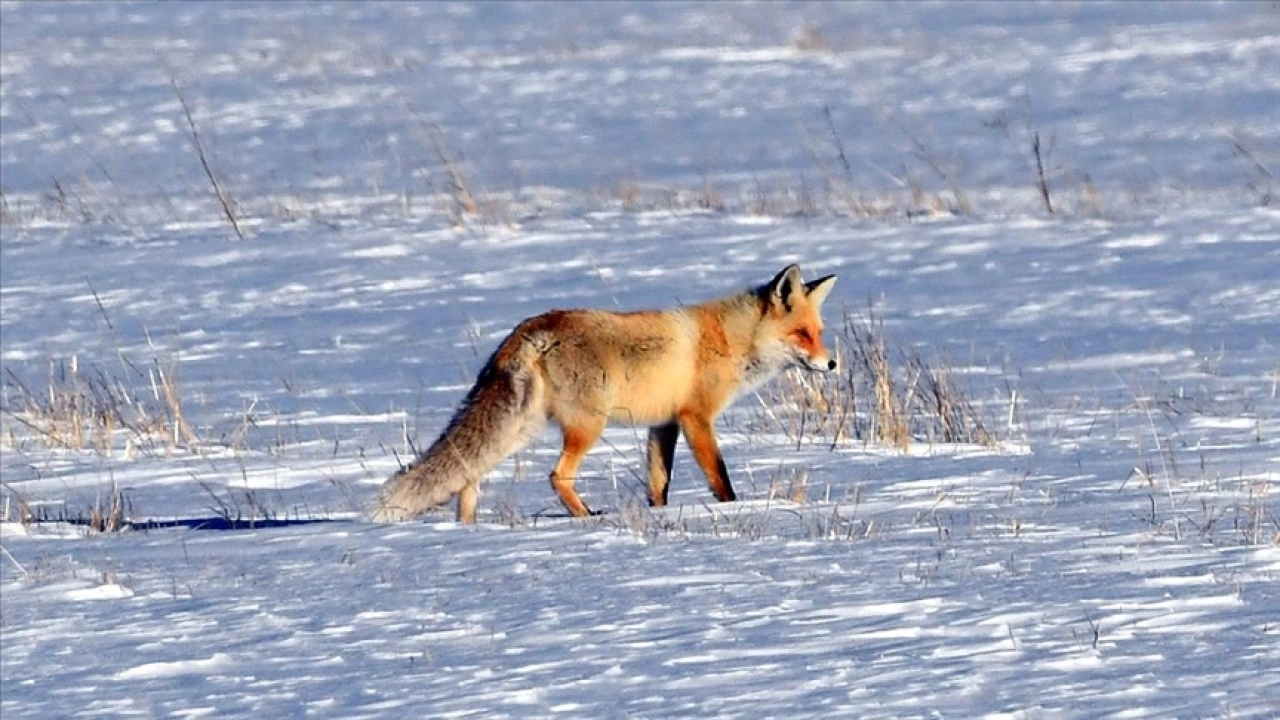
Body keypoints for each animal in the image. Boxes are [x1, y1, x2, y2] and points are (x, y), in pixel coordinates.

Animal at [368, 263, 839, 520]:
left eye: (818, 333)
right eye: (802, 335)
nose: (832, 364)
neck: (730, 340)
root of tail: (528, 330)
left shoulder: (663, 424)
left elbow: (659, 484)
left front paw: (659, 516)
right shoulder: (696, 418)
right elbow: (720, 478)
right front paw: (733, 509)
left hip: (521, 428)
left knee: (468, 474)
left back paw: (467, 528)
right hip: (586, 426)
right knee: (557, 476)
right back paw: (585, 517)